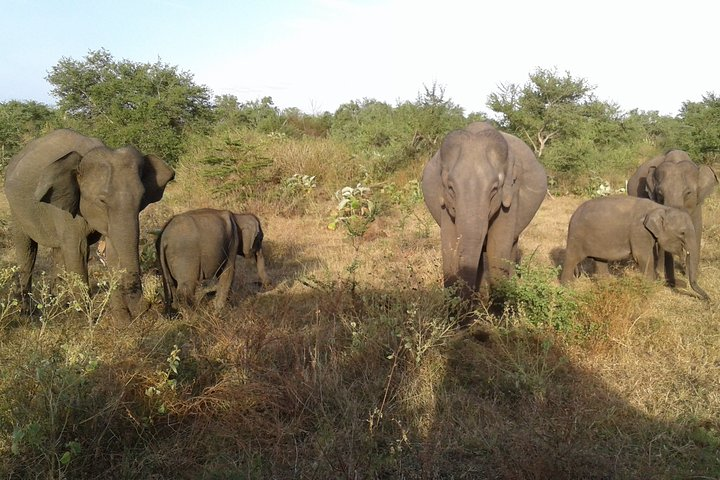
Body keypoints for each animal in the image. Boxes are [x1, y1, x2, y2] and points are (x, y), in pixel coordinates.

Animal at [3, 129, 175, 319]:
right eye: (102, 201)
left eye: (142, 198)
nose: (146, 306)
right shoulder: (66, 208)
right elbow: (77, 249)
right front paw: (85, 317)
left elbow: (112, 251)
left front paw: (121, 320)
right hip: (15, 206)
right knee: (26, 248)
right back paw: (27, 312)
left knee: (57, 250)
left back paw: (58, 305)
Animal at [421, 122, 548, 301]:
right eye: (451, 188)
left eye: (494, 189)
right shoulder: (445, 202)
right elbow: (449, 244)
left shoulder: (512, 193)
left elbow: (498, 247)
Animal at [560, 196, 709, 300]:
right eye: (682, 233)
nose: (708, 299)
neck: (660, 207)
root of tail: (573, 215)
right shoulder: (639, 231)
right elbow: (643, 257)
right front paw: (649, 288)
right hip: (576, 236)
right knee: (572, 259)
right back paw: (568, 288)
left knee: (600, 260)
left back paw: (607, 285)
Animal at [627, 150, 718, 286]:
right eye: (660, 193)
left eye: (688, 193)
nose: (672, 282)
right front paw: (663, 276)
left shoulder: (697, 205)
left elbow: (697, 230)